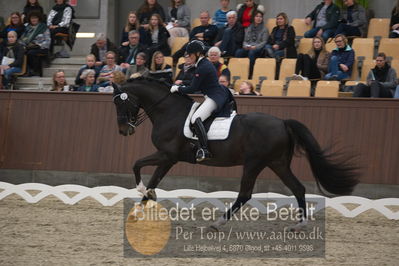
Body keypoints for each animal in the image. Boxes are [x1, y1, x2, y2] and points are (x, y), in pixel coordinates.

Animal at [112, 77, 360, 231]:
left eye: (120, 104)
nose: (124, 130)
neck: (169, 111)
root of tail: (282, 122)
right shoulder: (168, 159)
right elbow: (153, 178)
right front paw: (140, 208)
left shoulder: (166, 155)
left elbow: (138, 165)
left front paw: (141, 196)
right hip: (277, 163)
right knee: (297, 188)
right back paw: (299, 225)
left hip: (254, 163)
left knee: (245, 194)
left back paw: (217, 224)